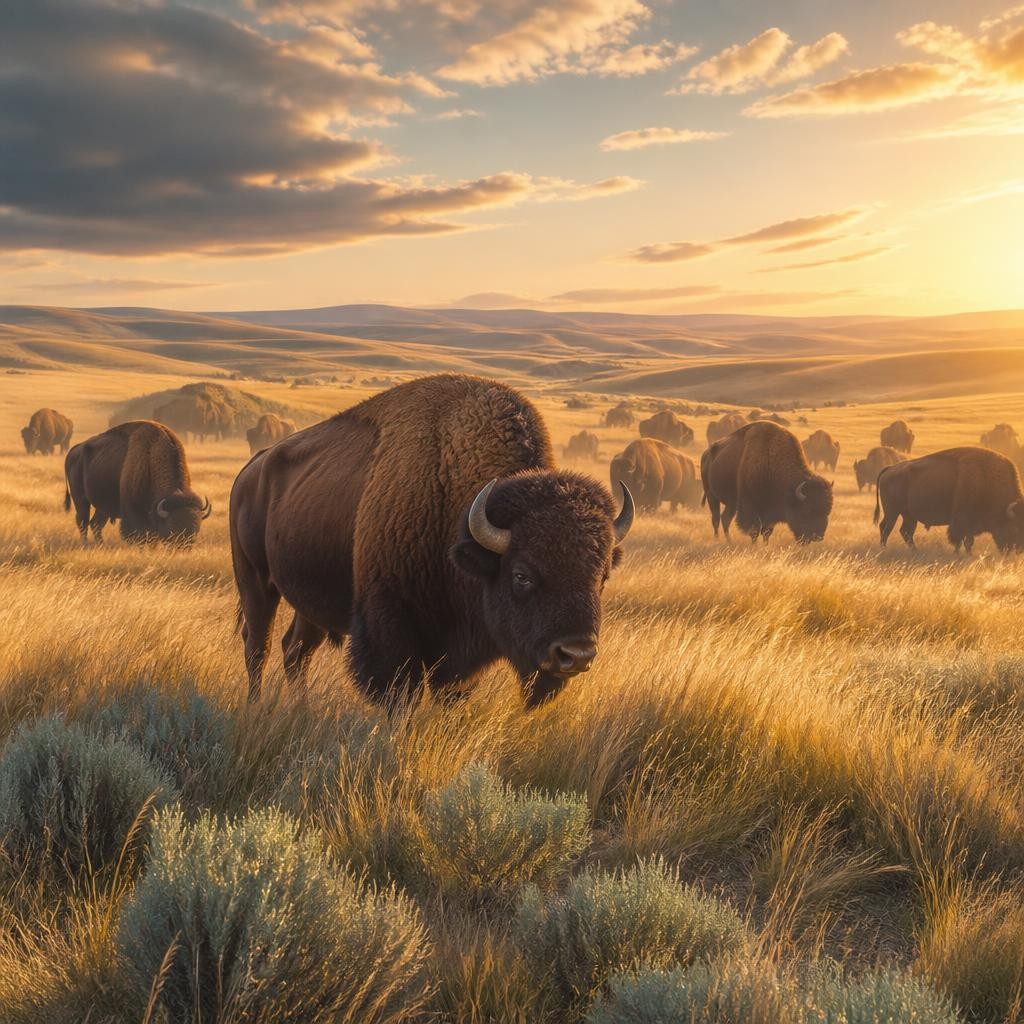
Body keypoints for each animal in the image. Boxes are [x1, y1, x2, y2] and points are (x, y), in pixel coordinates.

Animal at [64, 421, 211, 545]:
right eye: (172, 527)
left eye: (196, 529)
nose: (183, 547)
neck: (151, 458)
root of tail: (74, 450)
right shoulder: (133, 512)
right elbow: (138, 534)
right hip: (80, 499)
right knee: (83, 521)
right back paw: (85, 544)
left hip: (102, 506)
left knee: (96, 524)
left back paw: (101, 544)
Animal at [230, 374, 634, 707]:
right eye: (522, 575)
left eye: (601, 577)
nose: (576, 654)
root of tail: (252, 468)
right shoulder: (391, 629)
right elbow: (400, 695)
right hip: (255, 580)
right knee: (258, 646)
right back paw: (255, 708)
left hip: (307, 599)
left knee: (295, 651)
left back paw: (299, 709)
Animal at [701, 421, 833, 543]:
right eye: (808, 510)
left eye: (828, 511)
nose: (818, 536)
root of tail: (706, 454)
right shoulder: (750, 508)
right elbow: (754, 531)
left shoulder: (770, 513)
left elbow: (766, 532)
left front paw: (765, 545)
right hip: (711, 496)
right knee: (716, 519)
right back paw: (718, 539)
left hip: (731, 503)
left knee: (725, 519)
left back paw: (729, 541)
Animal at [874, 446, 1024, 553]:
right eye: (1015, 527)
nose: (1018, 550)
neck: (986, 478)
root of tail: (890, 469)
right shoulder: (962, 520)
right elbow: (962, 540)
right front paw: (961, 554)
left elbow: (967, 540)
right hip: (892, 512)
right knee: (886, 528)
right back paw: (884, 549)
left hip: (909, 515)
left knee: (906, 531)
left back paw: (915, 551)